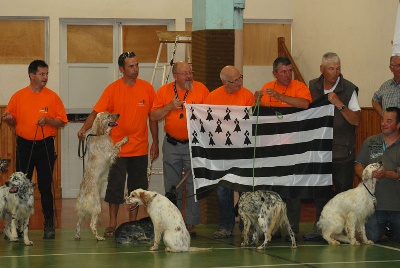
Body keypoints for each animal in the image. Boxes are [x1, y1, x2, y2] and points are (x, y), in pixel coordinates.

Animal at [75, 111, 128, 241]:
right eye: (108, 116)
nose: (118, 114)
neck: (99, 134)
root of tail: (83, 192)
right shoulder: (110, 153)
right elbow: (118, 144)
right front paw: (125, 138)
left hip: (83, 211)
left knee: (78, 223)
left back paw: (78, 235)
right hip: (97, 206)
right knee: (91, 224)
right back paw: (98, 237)